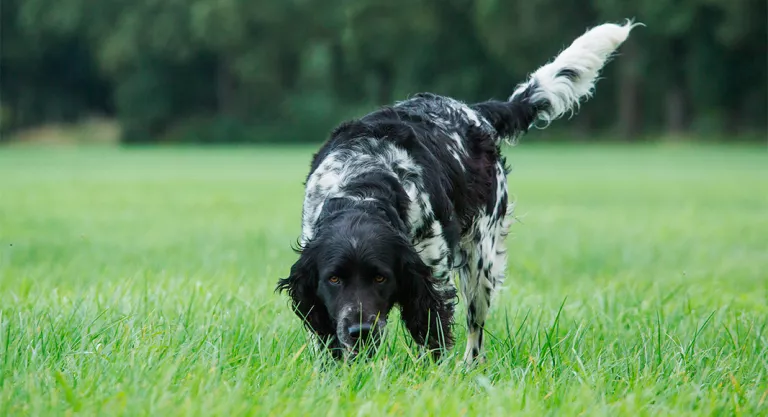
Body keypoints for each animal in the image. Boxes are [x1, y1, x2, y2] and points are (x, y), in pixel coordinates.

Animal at [280, 21, 640, 362]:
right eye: (334, 279)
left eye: (381, 278)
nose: (360, 331)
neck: (363, 184)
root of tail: (476, 111)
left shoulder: (432, 274)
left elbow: (432, 332)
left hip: (481, 265)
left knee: (475, 332)